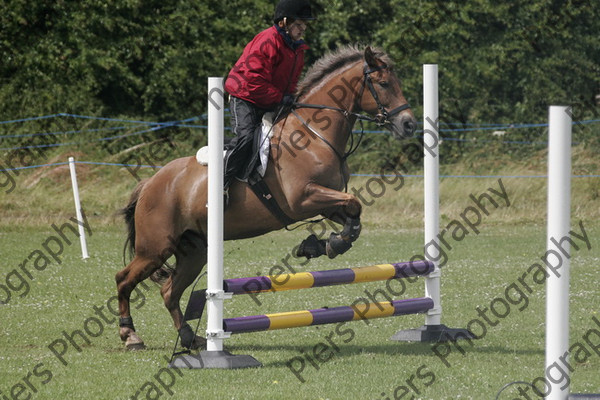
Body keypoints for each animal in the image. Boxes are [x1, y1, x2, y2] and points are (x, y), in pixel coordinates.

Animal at [117, 45, 418, 348]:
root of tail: (150, 182)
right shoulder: (303, 200)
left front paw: (322, 245)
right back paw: (130, 335)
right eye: (383, 83)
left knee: (169, 291)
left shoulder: (326, 202)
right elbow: (354, 204)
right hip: (155, 248)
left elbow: (353, 216)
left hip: (194, 252)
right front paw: (323, 244)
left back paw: (191, 338)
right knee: (124, 279)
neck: (314, 134)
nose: (409, 125)